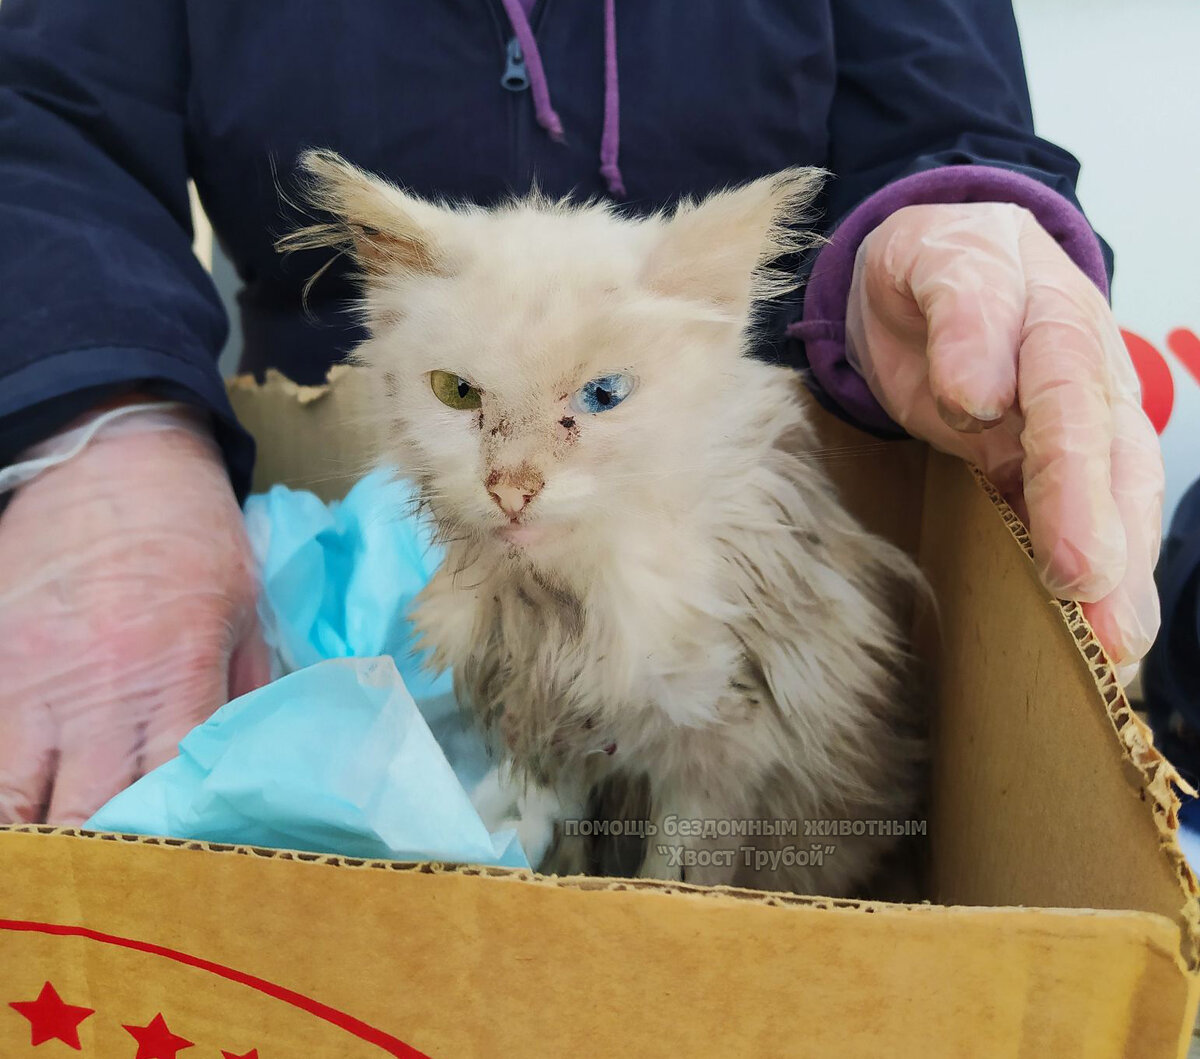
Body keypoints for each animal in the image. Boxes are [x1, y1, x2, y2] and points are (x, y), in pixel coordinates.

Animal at [285, 148, 921, 893]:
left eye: (604, 396)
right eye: (457, 392)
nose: (511, 488)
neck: (562, 604)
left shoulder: (722, 746)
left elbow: (676, 867)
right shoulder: (552, 730)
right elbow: (559, 824)